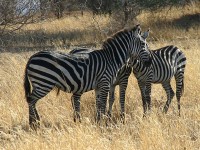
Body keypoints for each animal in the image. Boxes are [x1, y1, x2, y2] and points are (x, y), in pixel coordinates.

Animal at [23, 24, 152, 129]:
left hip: (40, 83)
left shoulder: (100, 86)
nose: (150, 62)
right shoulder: (105, 82)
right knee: (31, 100)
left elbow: (99, 104)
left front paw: (99, 121)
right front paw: (103, 123)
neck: (111, 59)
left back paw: (36, 122)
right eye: (143, 44)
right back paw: (34, 124)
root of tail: (32, 57)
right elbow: (103, 103)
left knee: (32, 100)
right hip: (44, 82)